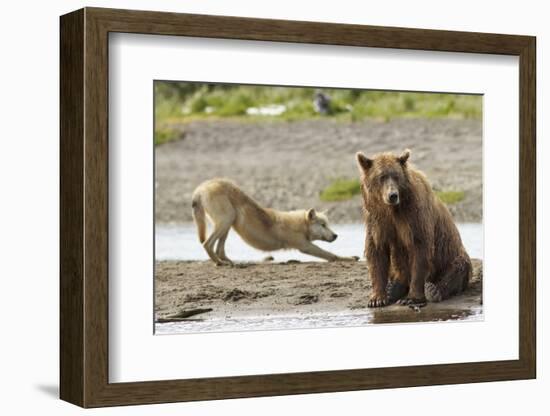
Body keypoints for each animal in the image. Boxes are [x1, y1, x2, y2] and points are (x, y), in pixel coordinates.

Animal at [192, 178, 360, 264]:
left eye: (328, 225)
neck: (301, 225)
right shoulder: (305, 246)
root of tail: (201, 187)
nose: (336, 235)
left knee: (219, 249)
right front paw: (349, 258)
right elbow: (331, 255)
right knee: (206, 244)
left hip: (227, 223)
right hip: (226, 219)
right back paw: (219, 262)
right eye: (323, 225)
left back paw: (229, 261)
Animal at [358, 149, 474, 306]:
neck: (392, 209)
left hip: (451, 255)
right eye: (381, 177)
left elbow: (419, 249)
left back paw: (433, 290)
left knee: (457, 268)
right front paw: (377, 299)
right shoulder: (377, 220)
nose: (392, 195)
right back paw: (393, 289)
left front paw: (411, 298)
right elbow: (377, 250)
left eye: (396, 175)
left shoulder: (414, 215)